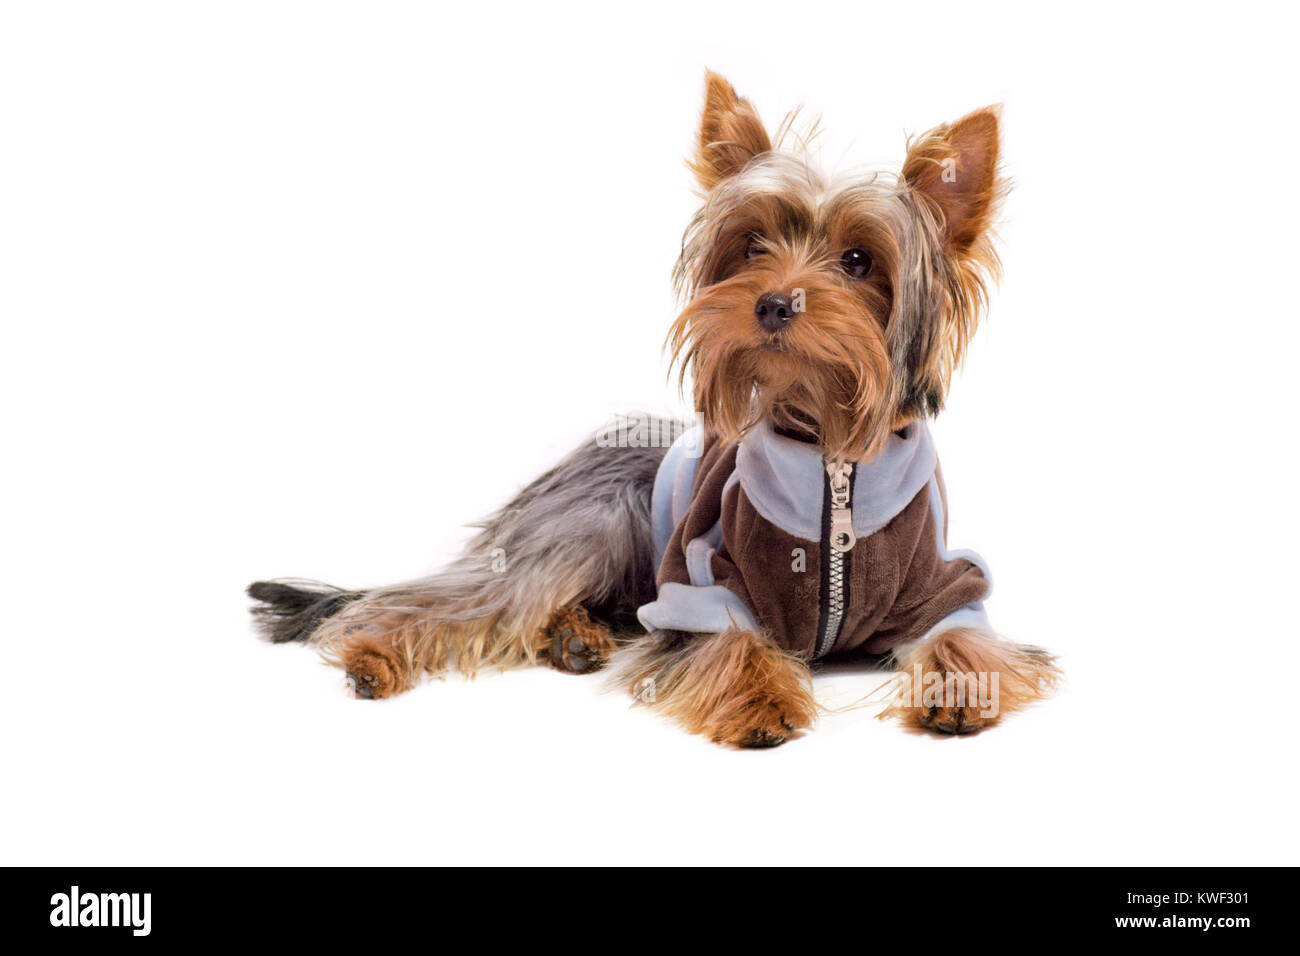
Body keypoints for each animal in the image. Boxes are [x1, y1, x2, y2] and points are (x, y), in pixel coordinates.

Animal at [248, 74, 1060, 749]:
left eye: (860, 262)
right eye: (752, 245)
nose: (773, 302)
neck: (830, 454)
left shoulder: (947, 589)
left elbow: (965, 641)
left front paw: (958, 692)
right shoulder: (700, 584)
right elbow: (726, 644)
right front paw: (761, 702)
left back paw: (574, 639)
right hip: (590, 527)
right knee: (457, 601)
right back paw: (378, 655)